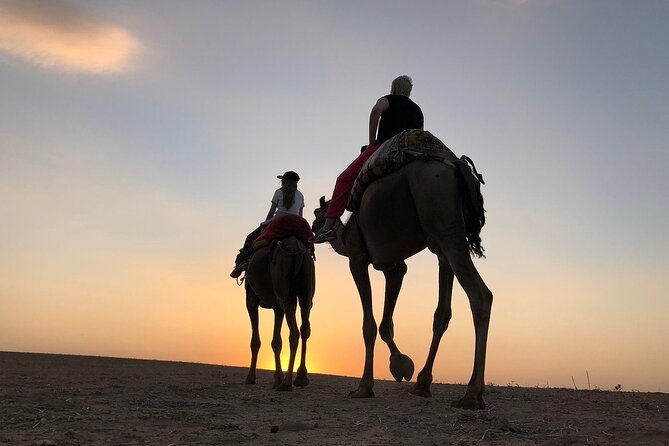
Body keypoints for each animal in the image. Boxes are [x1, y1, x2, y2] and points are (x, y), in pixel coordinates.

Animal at [241, 235, 314, 392]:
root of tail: (297, 248)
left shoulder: (251, 300)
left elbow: (255, 341)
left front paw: (250, 378)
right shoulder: (277, 307)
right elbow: (276, 342)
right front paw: (277, 379)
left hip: (283, 291)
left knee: (294, 332)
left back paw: (286, 383)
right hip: (306, 288)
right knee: (305, 327)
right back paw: (301, 378)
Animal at [312, 159, 490, 410]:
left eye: (317, 212)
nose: (313, 228)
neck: (345, 235)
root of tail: (456, 165)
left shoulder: (357, 259)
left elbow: (369, 325)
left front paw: (364, 387)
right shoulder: (394, 268)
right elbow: (386, 324)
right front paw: (402, 365)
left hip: (444, 224)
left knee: (480, 295)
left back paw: (472, 395)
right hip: (445, 236)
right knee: (443, 311)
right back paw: (423, 384)